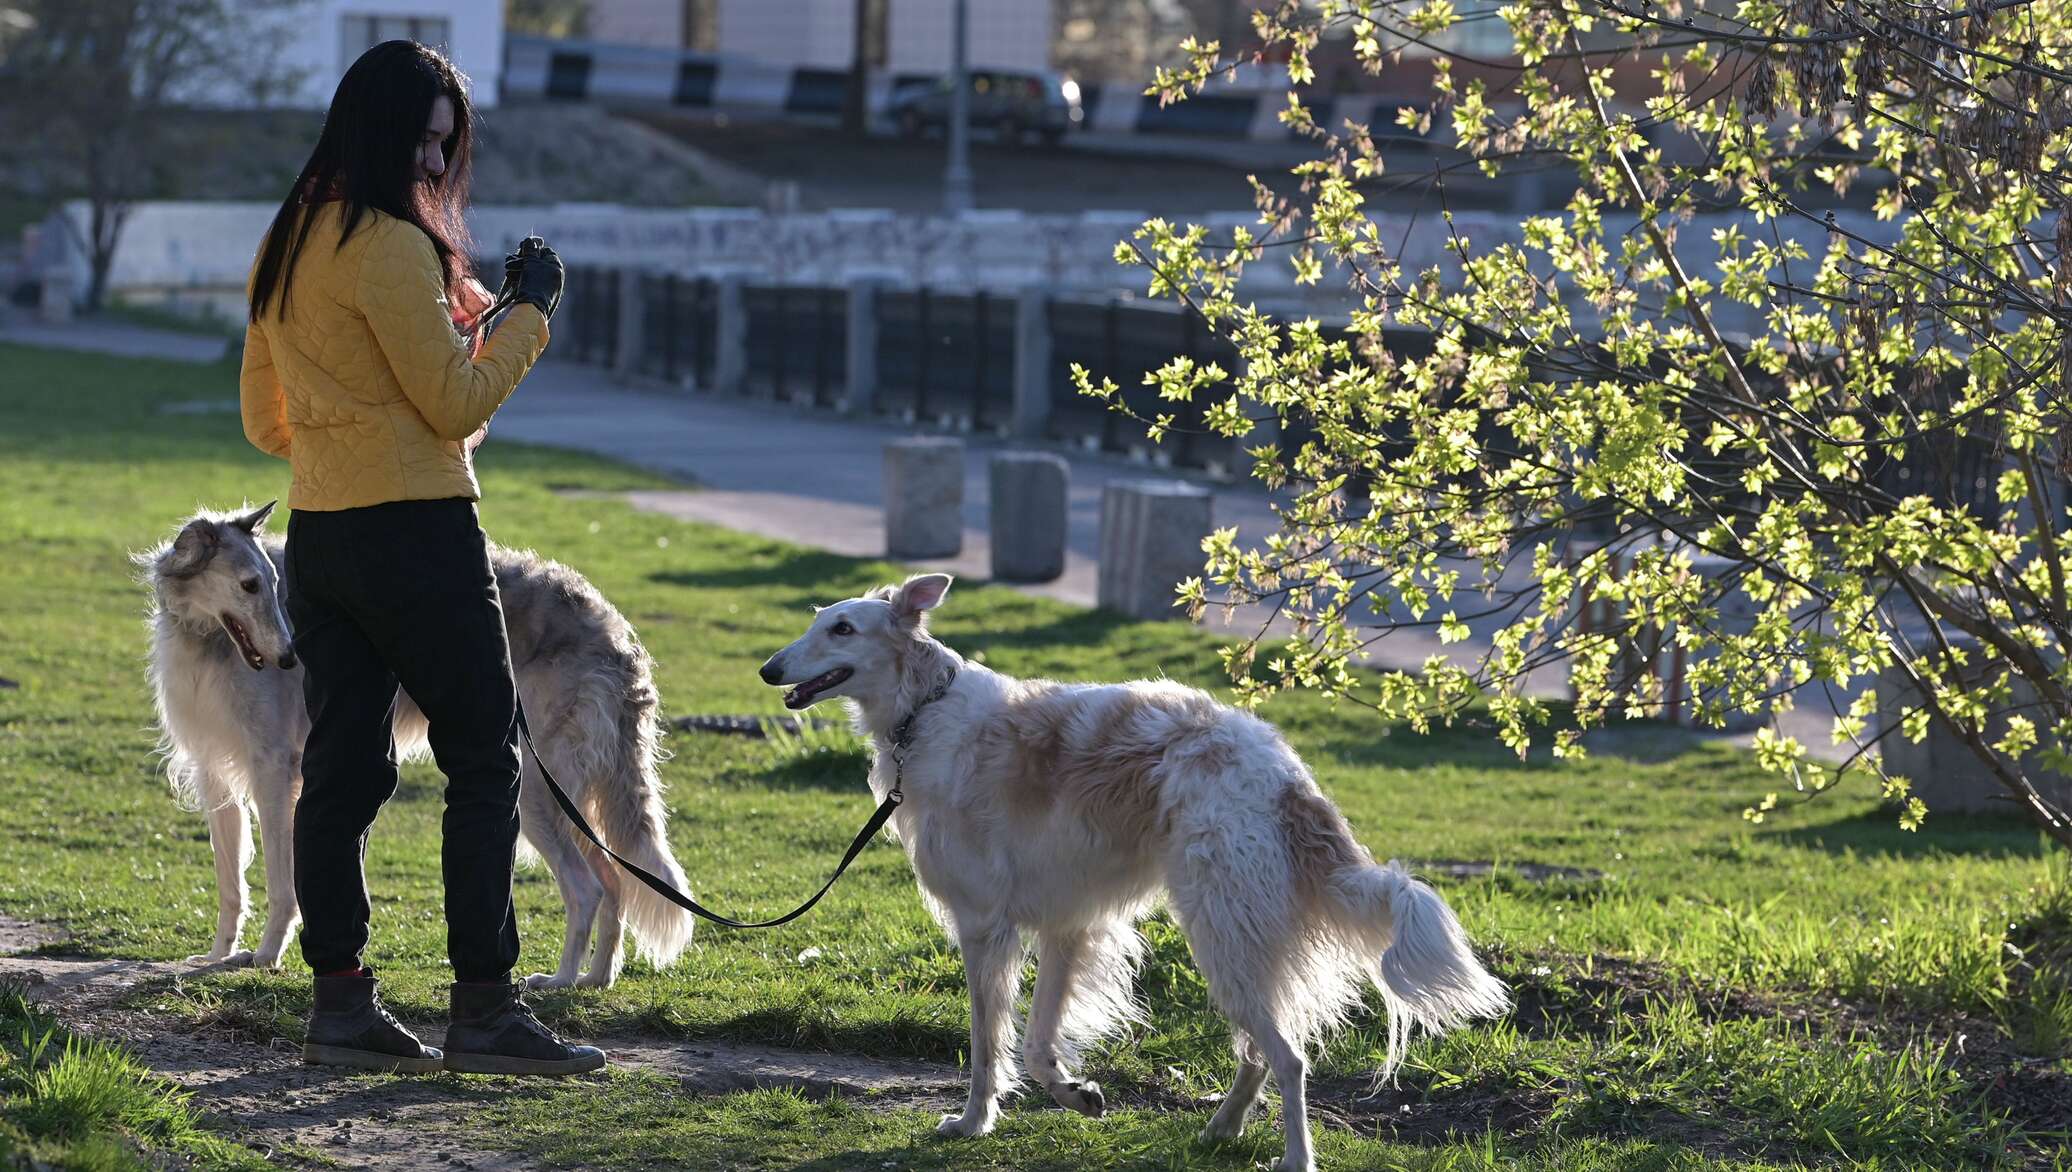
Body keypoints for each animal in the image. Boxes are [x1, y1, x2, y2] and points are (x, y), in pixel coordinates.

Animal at [144, 505, 704, 993]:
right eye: (249, 585)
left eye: (272, 584)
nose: (288, 658)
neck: (206, 638)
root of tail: (616, 635)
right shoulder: (215, 773)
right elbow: (230, 883)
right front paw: (218, 954)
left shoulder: (274, 773)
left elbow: (282, 885)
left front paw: (265, 956)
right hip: (575, 798)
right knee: (614, 886)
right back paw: (594, 978)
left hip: (536, 791)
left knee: (587, 888)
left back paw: (561, 979)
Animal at [762, 575, 1508, 1172]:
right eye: (819, 619)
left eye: (842, 628)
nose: (769, 669)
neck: (926, 710)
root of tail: (1284, 775)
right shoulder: (1068, 923)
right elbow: (1037, 1045)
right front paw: (1077, 1095)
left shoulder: (984, 927)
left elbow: (987, 1046)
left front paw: (973, 1123)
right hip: (1236, 939)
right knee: (1259, 1052)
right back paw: (1221, 1127)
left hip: (1220, 932)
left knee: (1289, 1057)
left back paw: (1295, 1157)